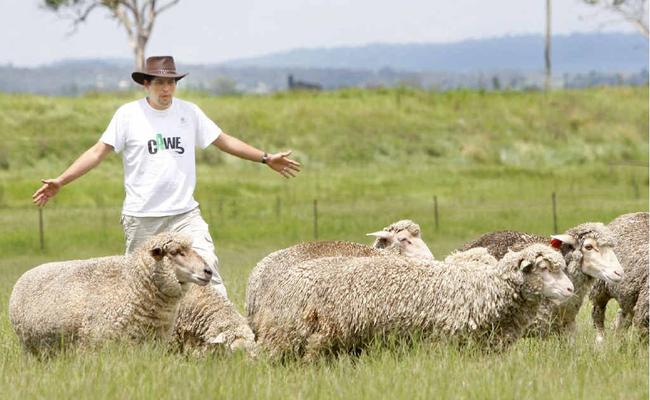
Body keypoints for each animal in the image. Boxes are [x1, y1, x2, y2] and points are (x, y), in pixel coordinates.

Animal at [588, 212, 648, 340]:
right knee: (597, 313)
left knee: (621, 319)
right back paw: (601, 339)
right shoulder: (644, 312)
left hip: (629, 295)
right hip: (599, 288)